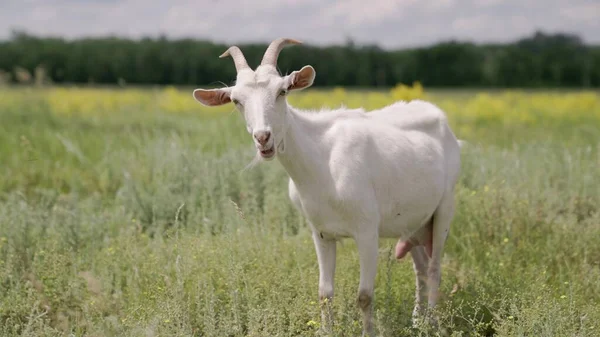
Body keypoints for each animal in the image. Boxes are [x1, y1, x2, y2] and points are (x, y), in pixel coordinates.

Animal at [195, 38, 462, 334]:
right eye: (236, 100)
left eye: (283, 91)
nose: (263, 138)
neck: (322, 162)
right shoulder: (320, 232)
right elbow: (324, 293)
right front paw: (326, 331)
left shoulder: (367, 230)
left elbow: (364, 296)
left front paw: (368, 333)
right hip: (413, 220)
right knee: (421, 268)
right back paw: (418, 320)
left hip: (445, 207)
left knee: (435, 268)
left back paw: (434, 323)